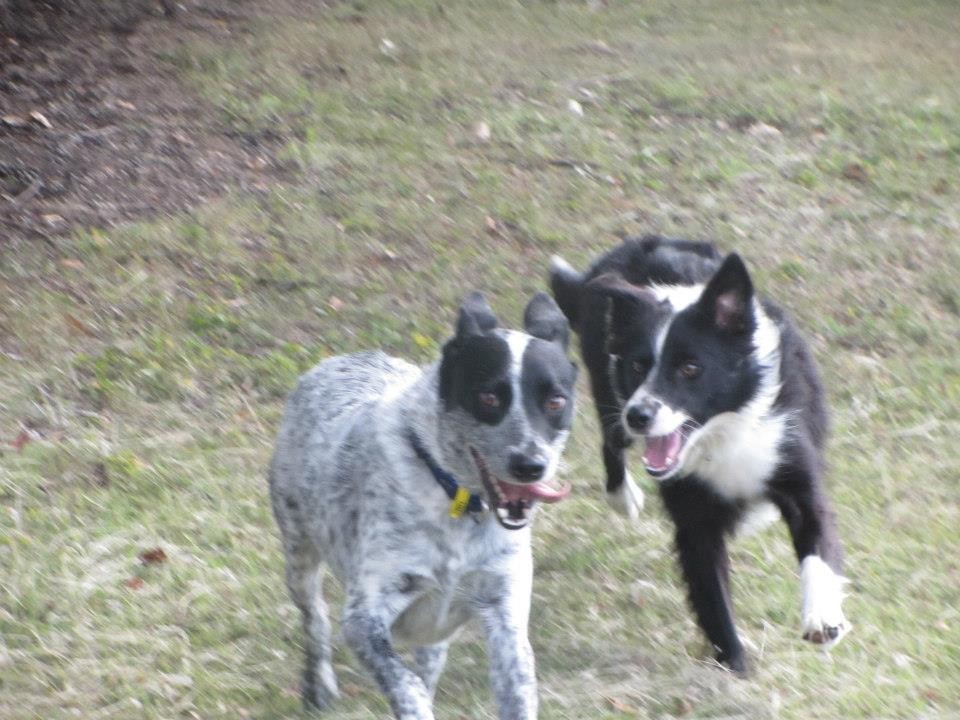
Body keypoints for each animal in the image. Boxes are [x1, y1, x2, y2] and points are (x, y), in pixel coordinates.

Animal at [269, 291, 577, 719]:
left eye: (554, 401)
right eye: (488, 397)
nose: (530, 465)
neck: (457, 502)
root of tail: (342, 358)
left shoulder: (504, 609)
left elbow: (517, 685)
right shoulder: (364, 618)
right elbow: (405, 683)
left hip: (434, 635)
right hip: (299, 555)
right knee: (315, 619)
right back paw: (319, 687)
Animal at [550, 236, 849, 672]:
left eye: (691, 368)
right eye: (638, 365)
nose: (639, 416)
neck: (722, 431)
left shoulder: (795, 472)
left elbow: (818, 549)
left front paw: (822, 617)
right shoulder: (693, 519)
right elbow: (713, 596)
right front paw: (735, 665)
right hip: (607, 390)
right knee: (611, 439)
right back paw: (622, 496)